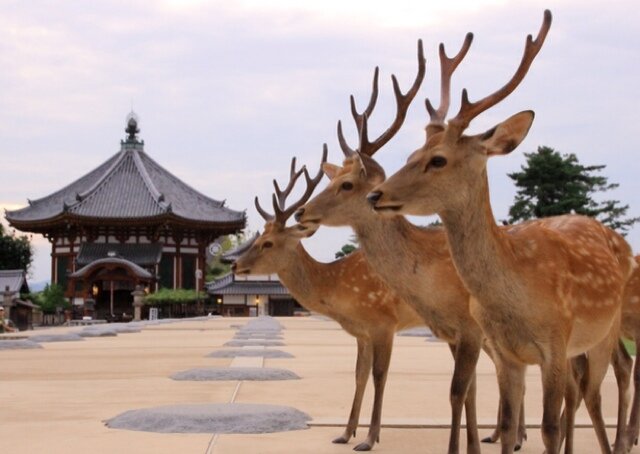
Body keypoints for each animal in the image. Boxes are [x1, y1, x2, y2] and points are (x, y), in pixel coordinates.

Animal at [230, 149, 424, 450]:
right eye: (259, 237)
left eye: (268, 243)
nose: (234, 265)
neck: (338, 289)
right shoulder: (363, 332)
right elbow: (358, 375)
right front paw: (346, 433)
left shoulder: (384, 322)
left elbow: (379, 375)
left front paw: (370, 438)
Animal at [296, 32, 528, 454]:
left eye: (346, 184)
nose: (301, 212)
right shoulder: (457, 332)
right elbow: (469, 391)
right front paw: (472, 444)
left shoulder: (464, 327)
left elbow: (453, 390)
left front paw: (368, 438)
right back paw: (507, 435)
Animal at [364, 8, 636, 452]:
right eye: (410, 154)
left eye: (438, 160)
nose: (375, 194)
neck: (518, 292)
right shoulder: (507, 353)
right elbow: (508, 425)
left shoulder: (555, 343)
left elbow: (548, 427)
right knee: (584, 393)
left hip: (605, 333)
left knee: (599, 392)